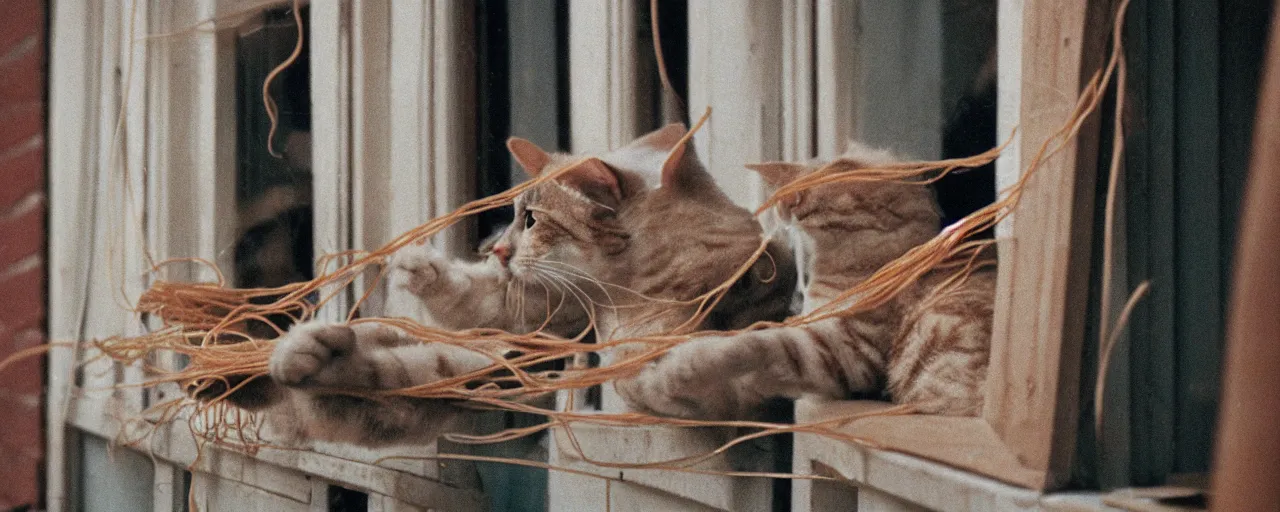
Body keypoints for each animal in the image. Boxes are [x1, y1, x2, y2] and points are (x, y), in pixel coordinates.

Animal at [202, 124, 788, 442]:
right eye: (513, 216)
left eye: (530, 220)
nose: (497, 249)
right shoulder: (547, 313)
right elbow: (477, 301)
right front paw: (420, 267)